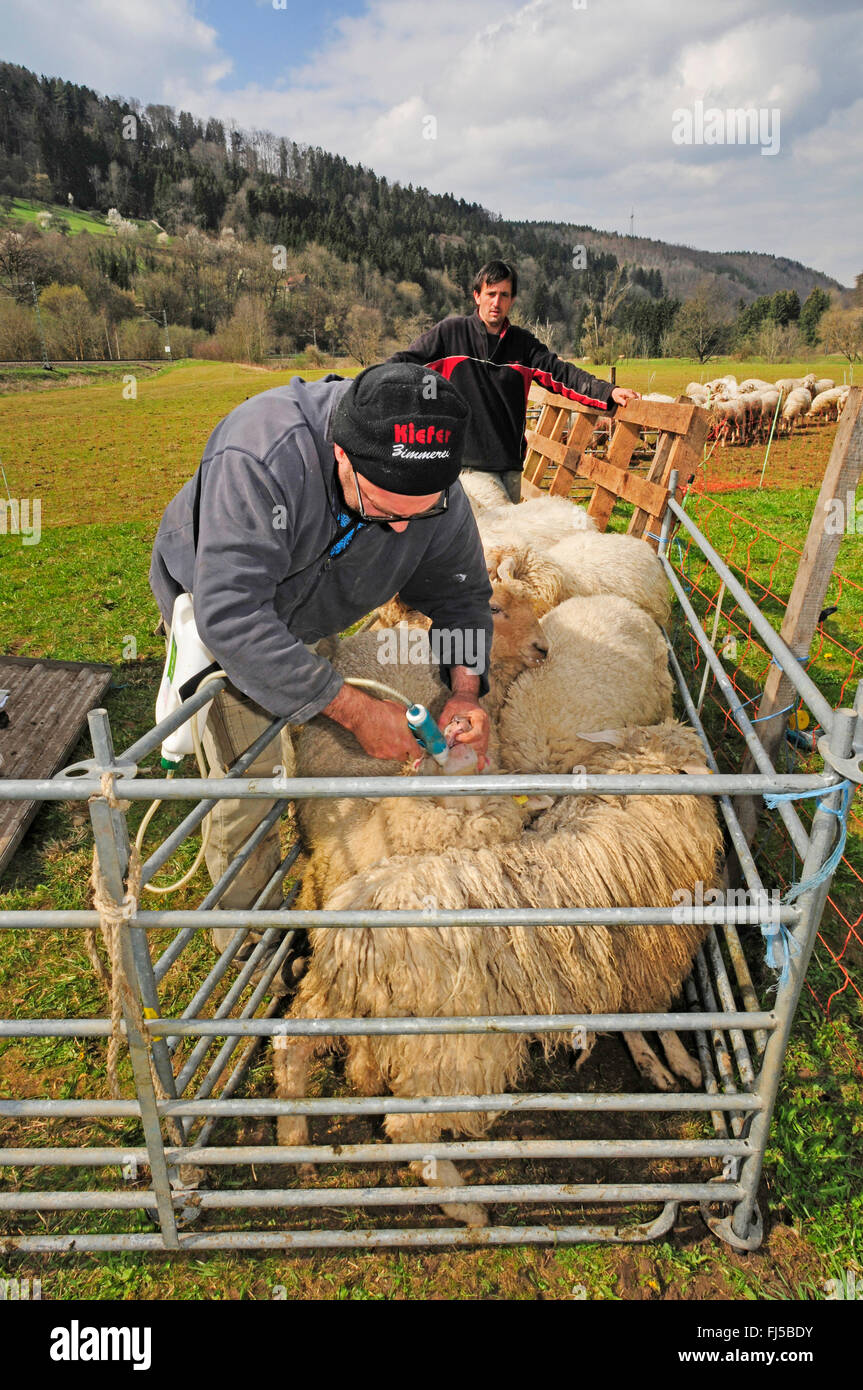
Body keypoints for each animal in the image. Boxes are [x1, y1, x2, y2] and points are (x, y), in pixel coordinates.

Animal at [277, 722, 722, 1223]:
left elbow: (635, 1020)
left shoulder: (620, 962)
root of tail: (360, 937)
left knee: (291, 1044)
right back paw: (465, 1206)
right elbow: (657, 1014)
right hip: (447, 1047)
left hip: (333, 995)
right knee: (408, 1126)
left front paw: (659, 1062)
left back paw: (293, 1139)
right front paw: (677, 1064)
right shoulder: (649, 955)